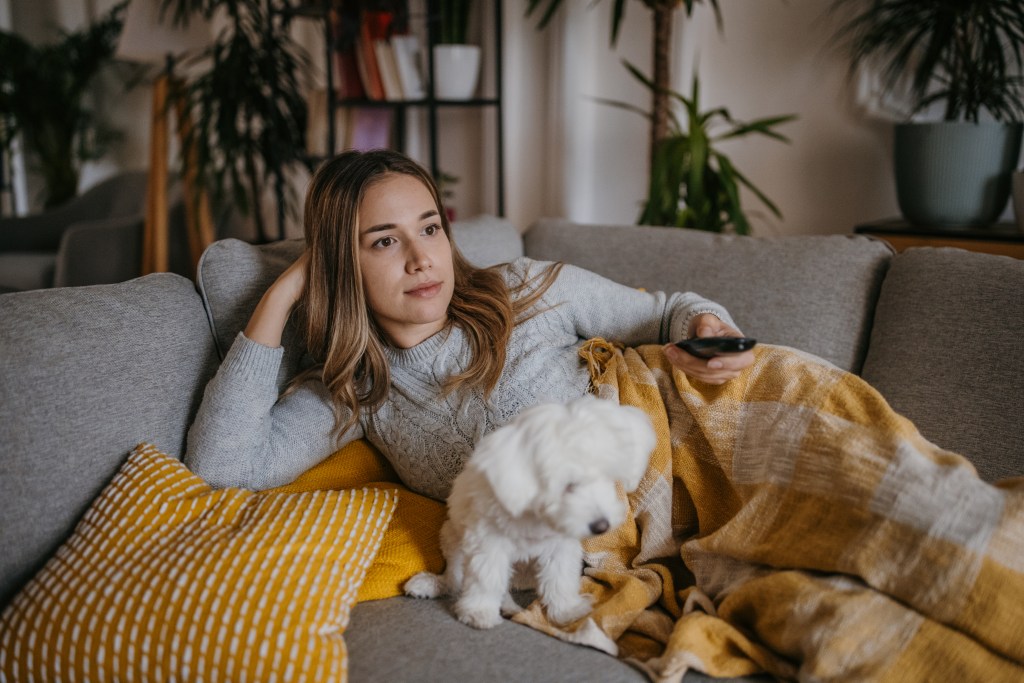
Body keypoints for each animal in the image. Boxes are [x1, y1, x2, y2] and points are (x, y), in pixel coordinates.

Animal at [401, 395, 655, 630]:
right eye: (567, 485)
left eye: (609, 476)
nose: (601, 526)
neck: (537, 515)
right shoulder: (488, 542)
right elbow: (487, 577)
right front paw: (478, 611)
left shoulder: (561, 547)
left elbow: (560, 578)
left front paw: (566, 610)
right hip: (451, 537)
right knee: (455, 578)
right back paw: (434, 585)